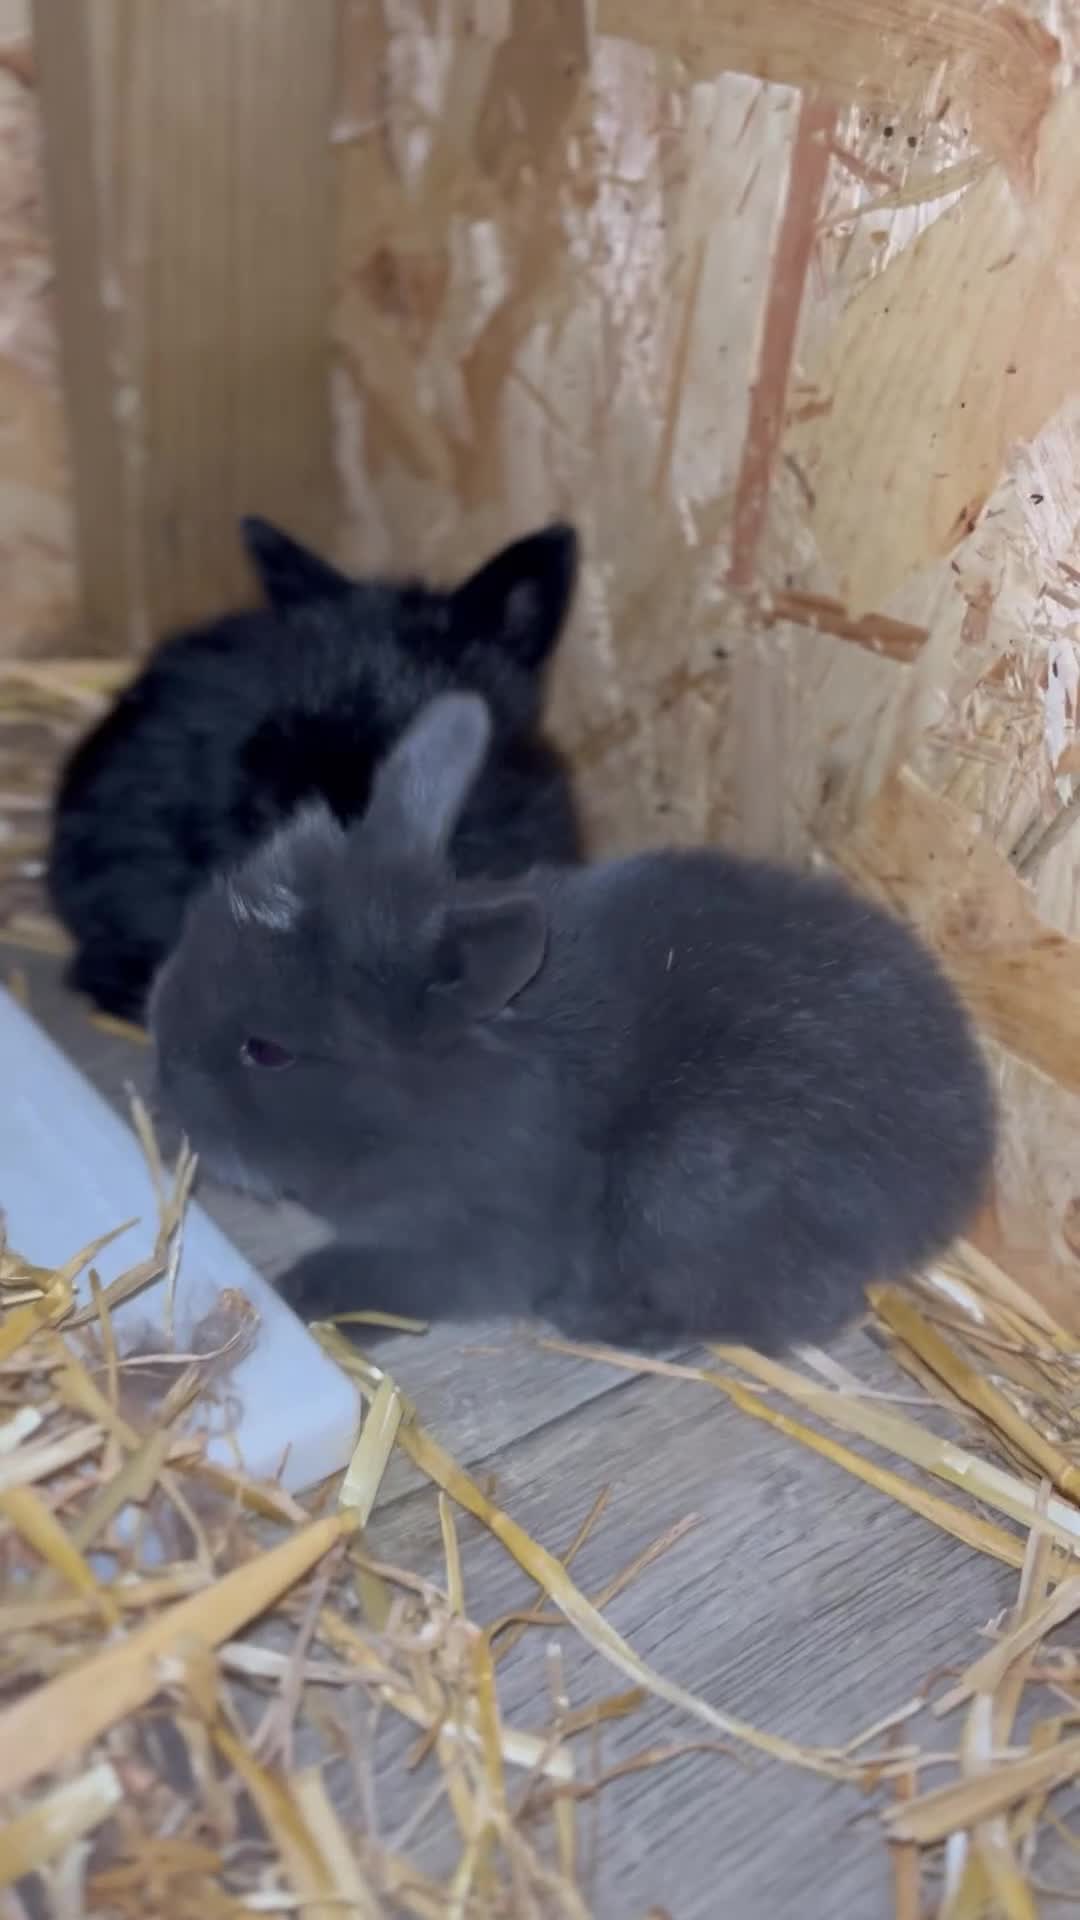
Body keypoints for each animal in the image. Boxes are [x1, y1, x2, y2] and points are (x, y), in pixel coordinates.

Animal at [150, 690, 997, 1357]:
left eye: (267, 1051)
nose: (161, 1095)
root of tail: (960, 1160)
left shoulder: (477, 1238)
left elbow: (390, 1276)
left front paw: (304, 1295)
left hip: (684, 1192)